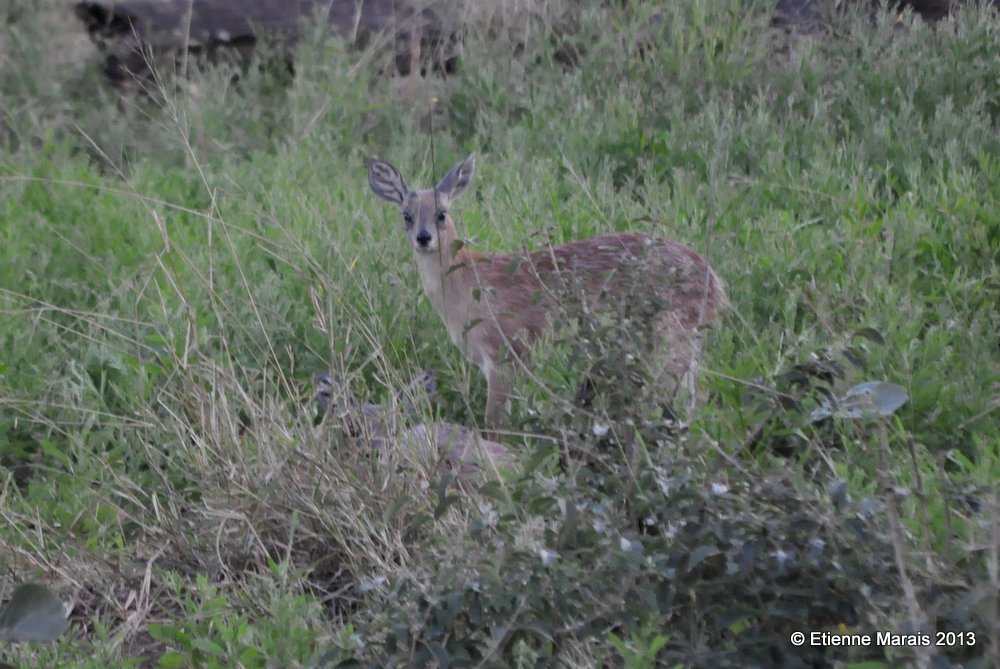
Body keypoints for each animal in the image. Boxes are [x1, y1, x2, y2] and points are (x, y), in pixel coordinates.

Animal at [370, 155, 728, 430]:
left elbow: (494, 425)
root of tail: (716, 284)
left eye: (442, 213)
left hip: (672, 341)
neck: (468, 284)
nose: (424, 237)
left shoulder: (504, 354)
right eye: (406, 215)